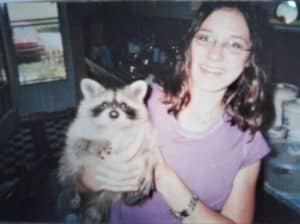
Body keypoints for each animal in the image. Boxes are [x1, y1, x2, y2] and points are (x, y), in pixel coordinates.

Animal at [57, 78, 158, 224]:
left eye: (123, 105)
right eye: (104, 105)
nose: (113, 114)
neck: (114, 127)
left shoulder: (144, 133)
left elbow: (150, 150)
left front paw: (148, 169)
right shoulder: (77, 131)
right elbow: (77, 143)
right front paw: (93, 144)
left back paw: (130, 198)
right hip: (69, 164)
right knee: (70, 168)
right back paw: (73, 189)